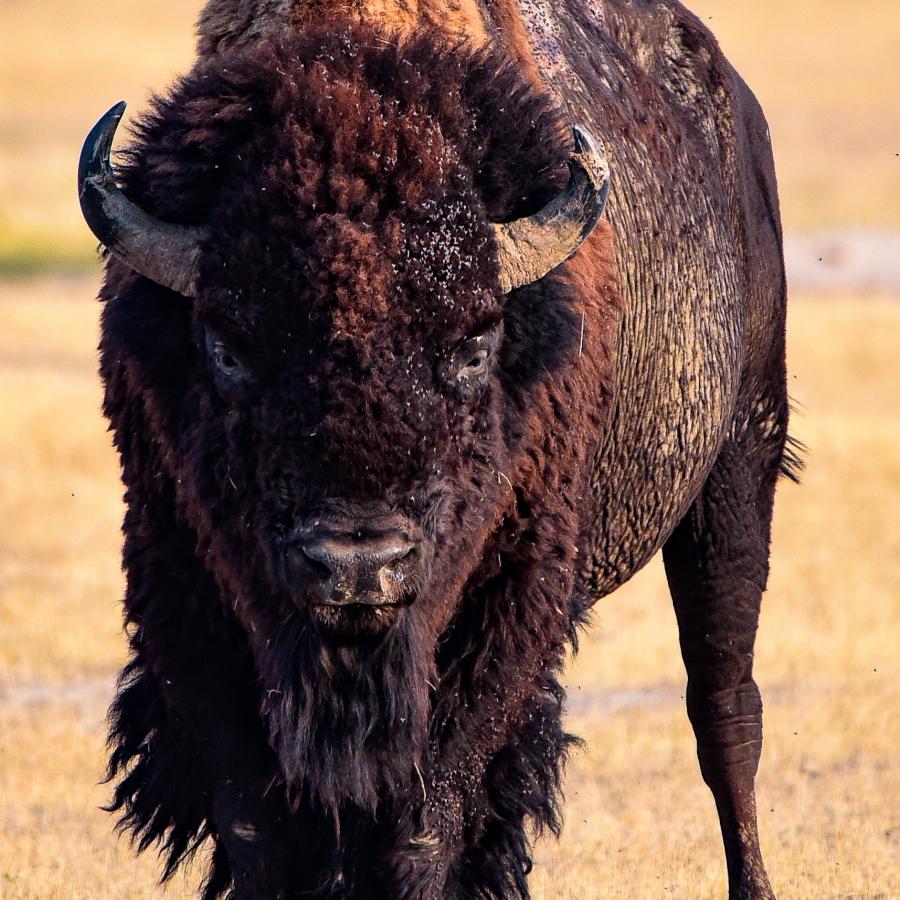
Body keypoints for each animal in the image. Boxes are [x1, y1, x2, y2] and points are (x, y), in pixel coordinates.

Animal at [79, 1, 796, 900]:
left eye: (474, 344)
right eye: (227, 347)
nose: (358, 566)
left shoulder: (507, 604)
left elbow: (431, 820)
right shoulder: (183, 593)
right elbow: (256, 825)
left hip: (739, 465)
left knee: (725, 708)